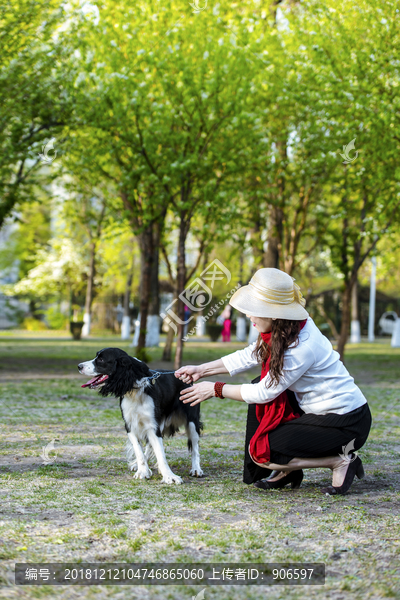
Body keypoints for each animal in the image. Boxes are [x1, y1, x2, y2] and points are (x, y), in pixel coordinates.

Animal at [77, 350, 203, 486]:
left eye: (101, 359)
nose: (79, 366)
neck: (134, 390)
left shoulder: (153, 425)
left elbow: (161, 453)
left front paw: (169, 476)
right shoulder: (130, 425)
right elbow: (139, 451)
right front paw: (142, 471)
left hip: (192, 421)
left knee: (195, 447)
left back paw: (196, 469)